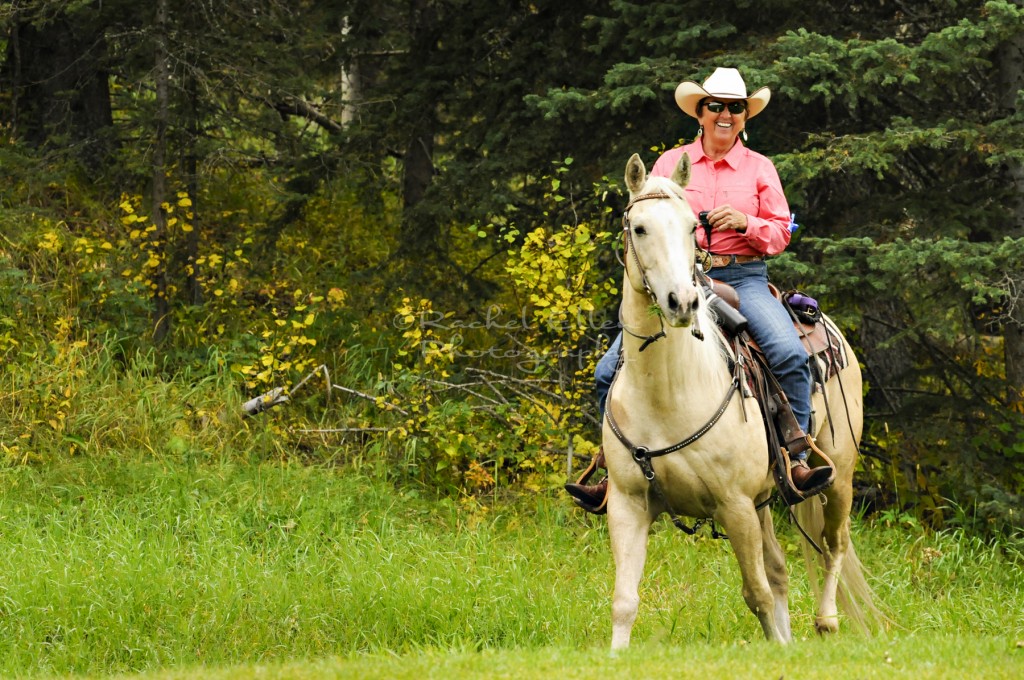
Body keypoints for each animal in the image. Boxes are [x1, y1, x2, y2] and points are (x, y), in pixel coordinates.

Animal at [606, 152, 880, 647]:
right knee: (780, 570)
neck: (667, 391)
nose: (682, 302)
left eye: (691, 228)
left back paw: (827, 620)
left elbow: (757, 594)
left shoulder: (733, 504)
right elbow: (624, 601)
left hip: (838, 472)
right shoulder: (627, 503)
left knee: (833, 544)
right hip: (764, 500)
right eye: (639, 228)